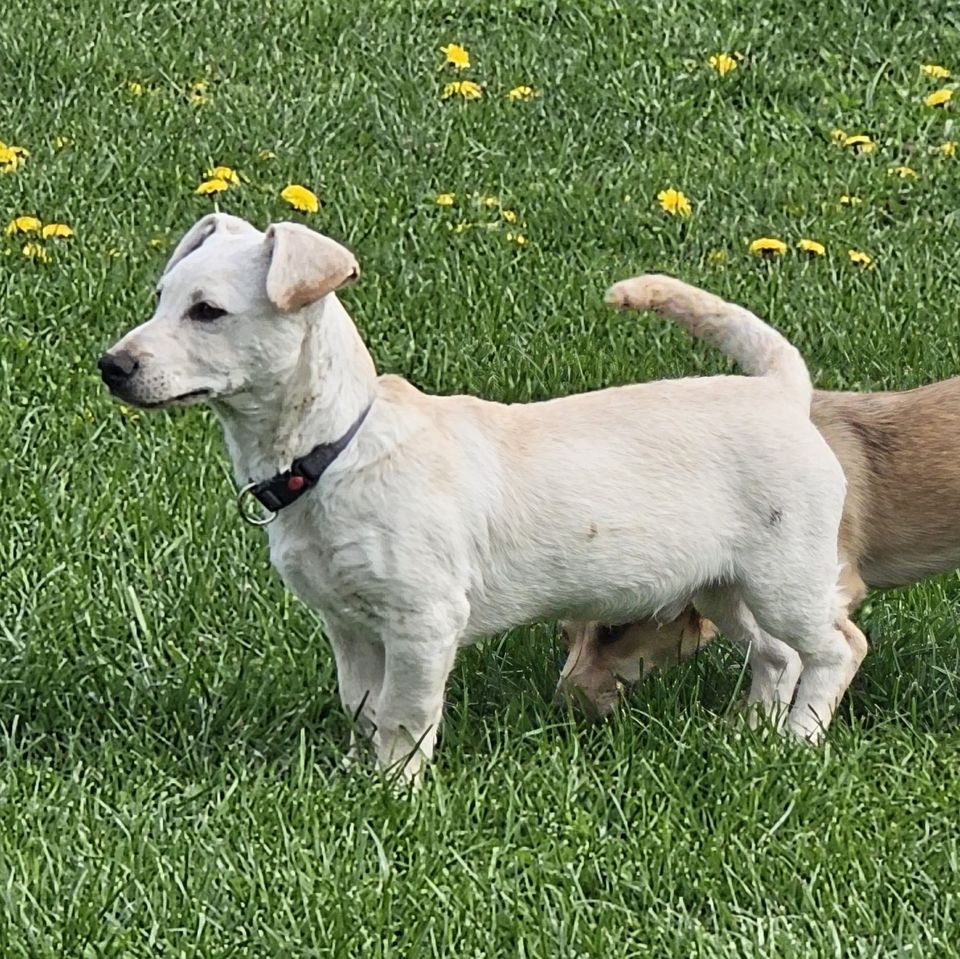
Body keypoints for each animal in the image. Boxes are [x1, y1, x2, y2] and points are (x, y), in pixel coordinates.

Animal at [103, 212, 864, 780]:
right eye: (161, 298)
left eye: (208, 312)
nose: (110, 365)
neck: (336, 449)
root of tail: (781, 389)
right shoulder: (349, 627)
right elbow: (360, 705)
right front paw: (355, 773)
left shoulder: (422, 620)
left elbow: (404, 713)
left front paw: (394, 789)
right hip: (725, 585)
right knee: (778, 654)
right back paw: (754, 735)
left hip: (784, 575)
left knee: (835, 647)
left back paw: (800, 739)